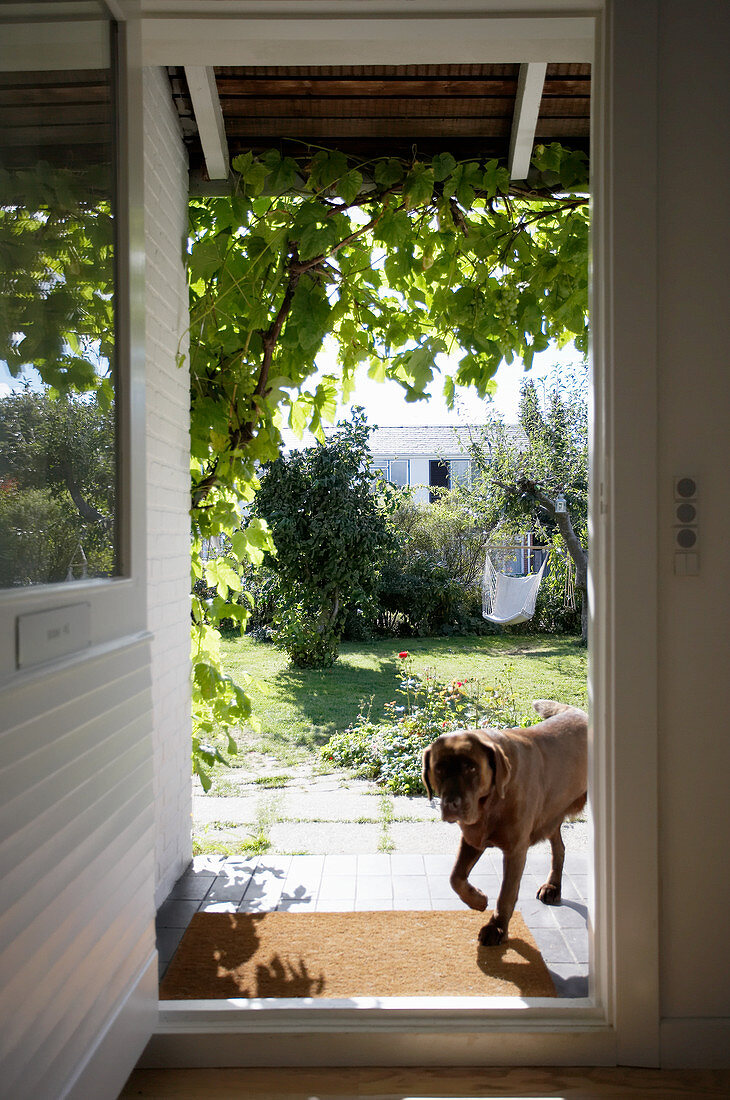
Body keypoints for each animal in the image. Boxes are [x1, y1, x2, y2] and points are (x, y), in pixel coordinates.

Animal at [422, 695, 589, 946]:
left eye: (471, 768)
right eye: (439, 769)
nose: (452, 804)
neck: (490, 805)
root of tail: (579, 712)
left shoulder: (515, 849)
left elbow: (507, 893)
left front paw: (496, 928)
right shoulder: (472, 838)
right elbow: (455, 877)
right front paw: (477, 900)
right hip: (550, 813)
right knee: (559, 848)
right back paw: (553, 887)